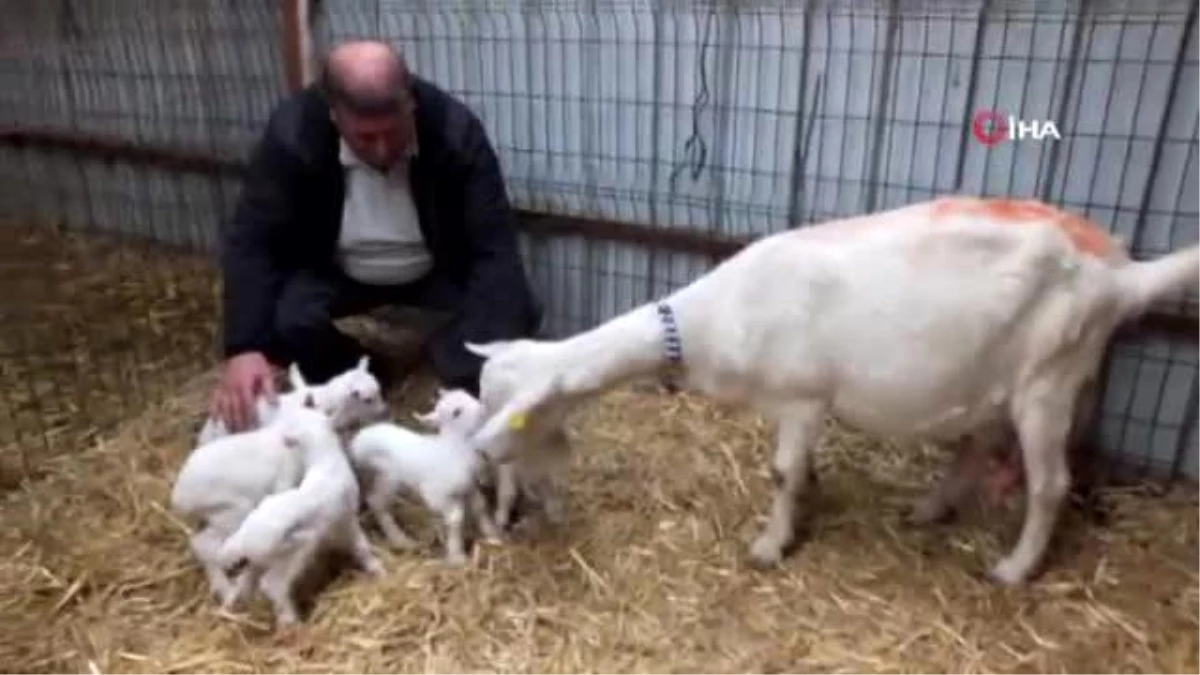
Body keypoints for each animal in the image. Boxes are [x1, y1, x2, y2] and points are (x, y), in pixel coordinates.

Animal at [213, 389, 384, 624]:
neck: (325, 461)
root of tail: (244, 540)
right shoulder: (346, 519)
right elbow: (361, 546)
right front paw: (377, 568)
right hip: (290, 556)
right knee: (272, 586)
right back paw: (291, 621)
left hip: (259, 560)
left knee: (245, 580)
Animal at [348, 386, 501, 559]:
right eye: (456, 412)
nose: (484, 408)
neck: (455, 449)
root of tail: (360, 438)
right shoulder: (435, 495)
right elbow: (456, 518)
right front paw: (456, 554)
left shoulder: (468, 488)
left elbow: (480, 507)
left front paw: (493, 534)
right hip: (388, 480)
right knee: (376, 502)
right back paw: (400, 539)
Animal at [463, 194, 1200, 583]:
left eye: (511, 414)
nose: (482, 465)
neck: (709, 320)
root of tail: (1121, 275)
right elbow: (798, 470)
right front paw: (803, 509)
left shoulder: (801, 396)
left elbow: (781, 471)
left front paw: (771, 544)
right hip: (993, 377)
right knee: (975, 445)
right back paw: (929, 509)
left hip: (1050, 375)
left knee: (1050, 483)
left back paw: (1014, 567)